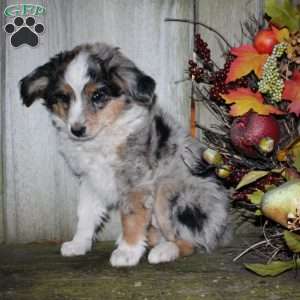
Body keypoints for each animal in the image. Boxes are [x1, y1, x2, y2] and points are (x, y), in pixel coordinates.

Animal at [19, 42, 230, 268]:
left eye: (97, 96)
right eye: (63, 97)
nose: (76, 130)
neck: (104, 134)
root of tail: (223, 228)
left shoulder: (135, 182)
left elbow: (131, 216)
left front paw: (127, 252)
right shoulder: (91, 180)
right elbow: (85, 214)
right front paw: (79, 244)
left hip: (169, 191)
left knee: (192, 240)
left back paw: (164, 251)